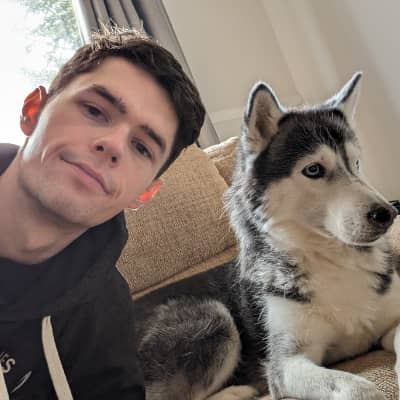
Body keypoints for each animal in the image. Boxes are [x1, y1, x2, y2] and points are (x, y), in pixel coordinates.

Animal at [133, 73, 400, 400]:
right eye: (313, 169)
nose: (388, 213)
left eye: (357, 163)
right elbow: (353, 387)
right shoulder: (285, 364)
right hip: (213, 316)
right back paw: (236, 392)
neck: (331, 258)